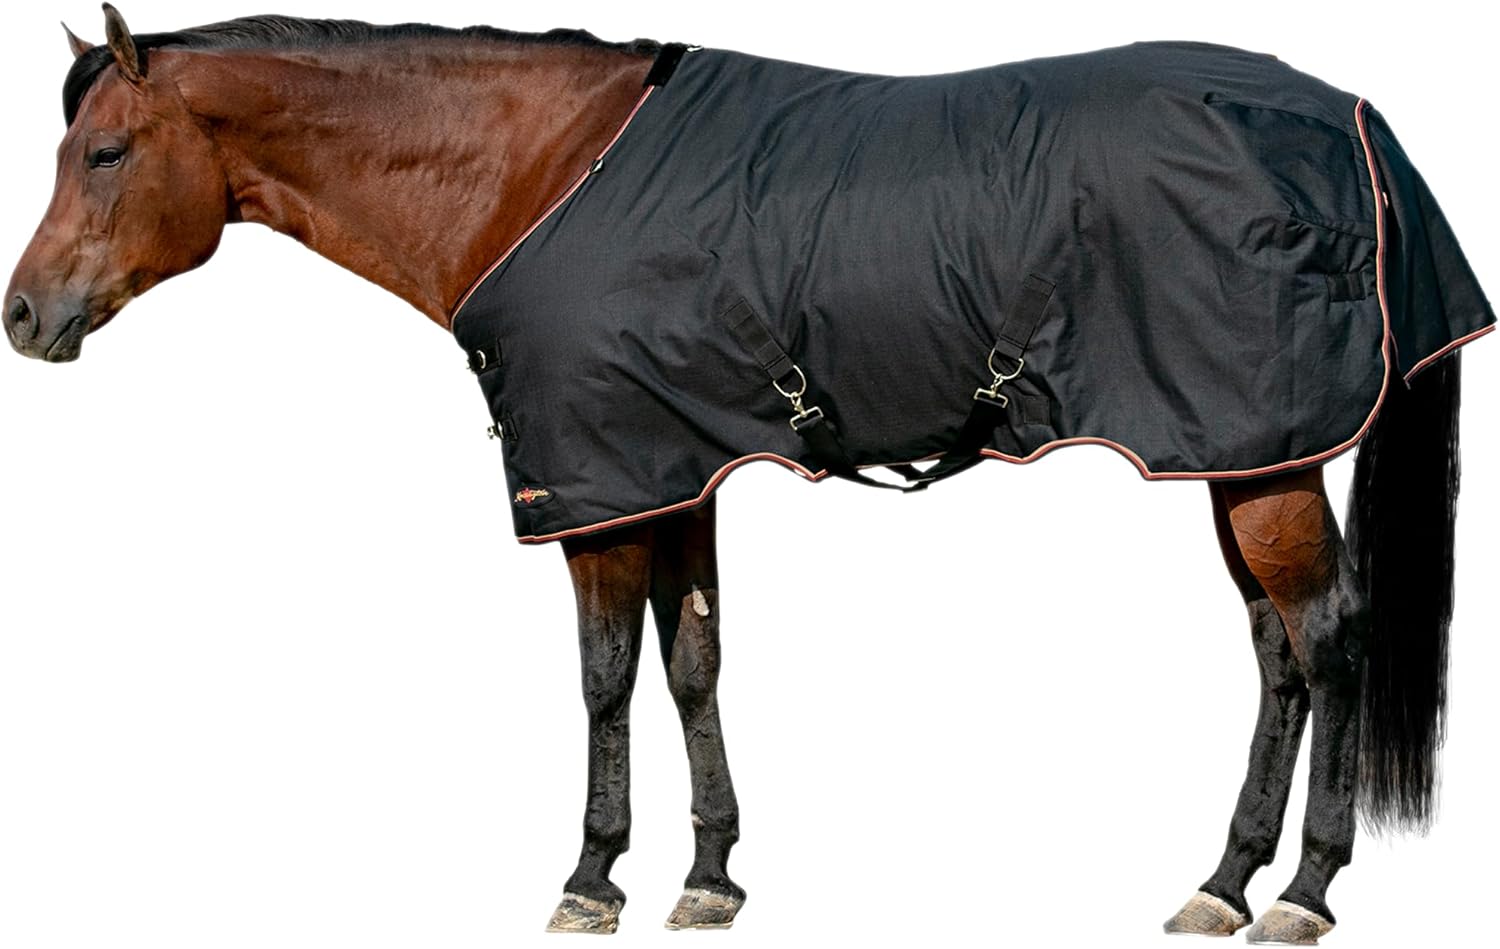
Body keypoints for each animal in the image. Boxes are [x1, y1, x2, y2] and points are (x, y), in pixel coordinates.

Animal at [4, 6, 1494, 943]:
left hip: (1264, 462)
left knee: (1328, 640)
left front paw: (591, 877)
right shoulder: (671, 470)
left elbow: (605, 677)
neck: (538, 172)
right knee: (1279, 655)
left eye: (107, 151)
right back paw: (1223, 881)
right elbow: (693, 664)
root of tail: (1357, 124)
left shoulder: (597, 485)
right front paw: (711, 875)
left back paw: (1304, 890)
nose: (23, 317)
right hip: (1242, 455)